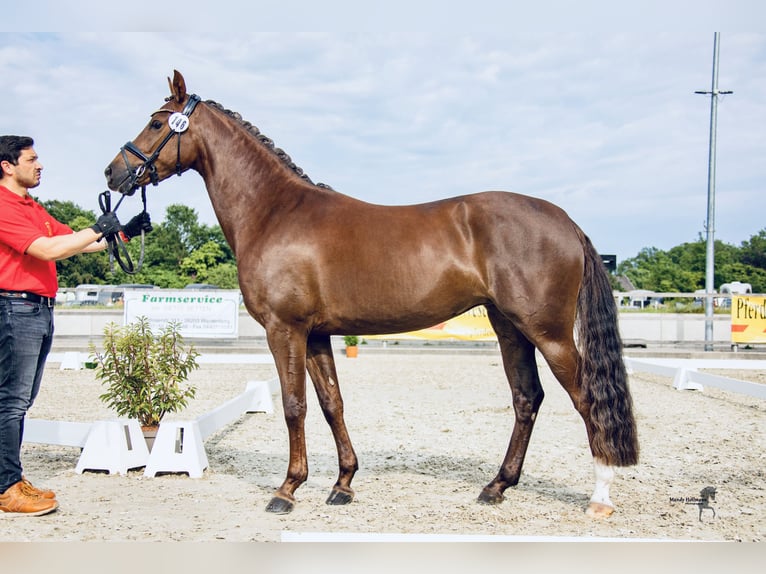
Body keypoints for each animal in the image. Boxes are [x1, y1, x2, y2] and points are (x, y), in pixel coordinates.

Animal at [103, 70, 640, 520]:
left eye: (156, 123)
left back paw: (599, 495)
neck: (275, 212)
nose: (112, 173)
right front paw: (342, 483)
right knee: (527, 398)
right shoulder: (316, 335)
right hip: (509, 327)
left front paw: (286, 491)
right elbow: (331, 403)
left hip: (548, 333)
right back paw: (496, 486)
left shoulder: (284, 330)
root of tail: (565, 220)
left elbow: (294, 405)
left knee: (586, 400)